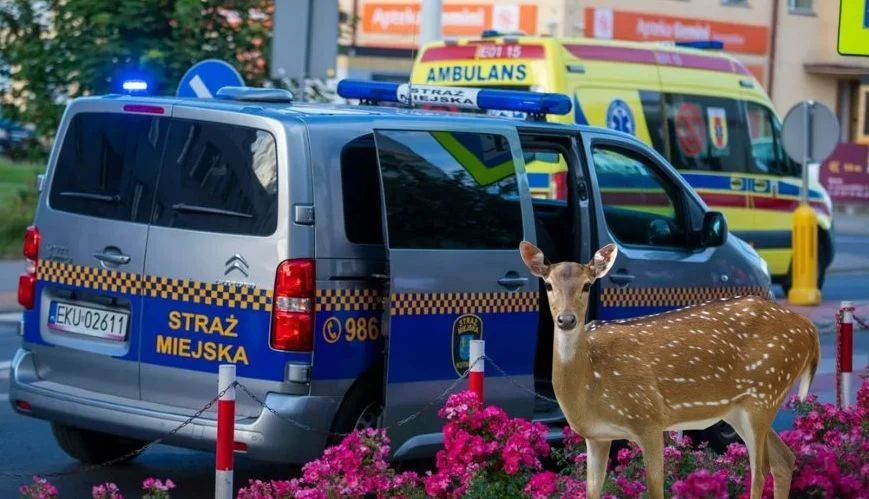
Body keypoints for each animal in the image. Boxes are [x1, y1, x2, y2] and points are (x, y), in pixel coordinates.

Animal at [520, 240, 816, 499]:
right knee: (784, 458)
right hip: (742, 408)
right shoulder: (596, 435)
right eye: (548, 285)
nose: (566, 319)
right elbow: (591, 491)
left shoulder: (649, 417)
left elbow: (655, 490)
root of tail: (809, 330)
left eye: (587, 285)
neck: (591, 383)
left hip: (765, 391)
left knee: (760, 471)